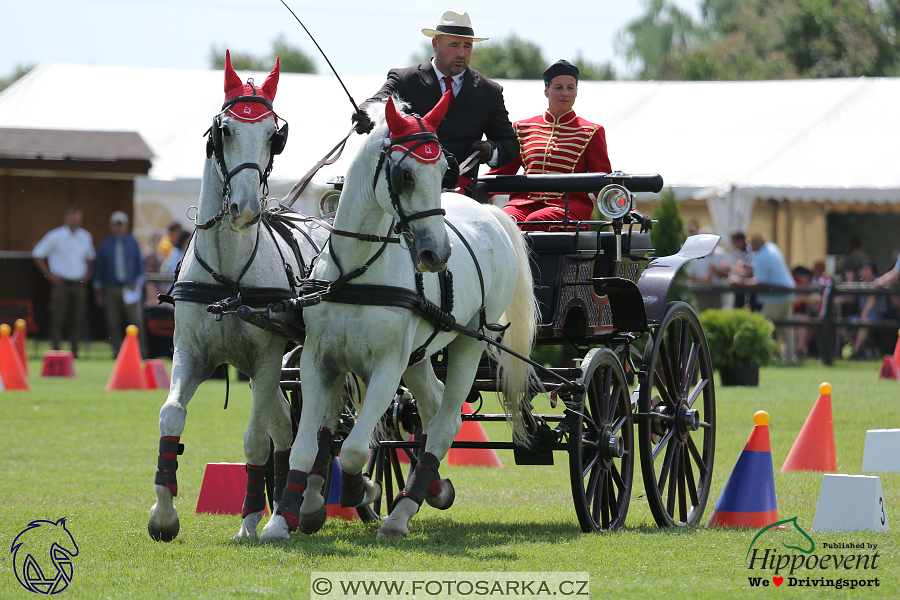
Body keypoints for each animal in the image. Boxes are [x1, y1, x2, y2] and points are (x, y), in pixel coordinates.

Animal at [149, 51, 328, 540]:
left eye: (273, 136)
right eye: (224, 131)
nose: (245, 210)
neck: (229, 275)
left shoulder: (266, 360)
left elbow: (253, 440)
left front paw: (249, 522)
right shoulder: (190, 353)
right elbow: (171, 415)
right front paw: (164, 514)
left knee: (305, 425)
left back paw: (299, 506)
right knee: (285, 426)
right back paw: (288, 505)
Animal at [260, 95, 540, 544]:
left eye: (445, 170)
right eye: (404, 174)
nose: (436, 254)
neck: (356, 273)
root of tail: (490, 214)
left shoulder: (387, 366)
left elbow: (355, 450)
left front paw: (362, 491)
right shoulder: (317, 362)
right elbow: (307, 446)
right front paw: (282, 520)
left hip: (469, 341)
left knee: (446, 419)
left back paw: (401, 512)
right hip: (420, 354)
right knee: (432, 404)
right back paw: (432, 486)